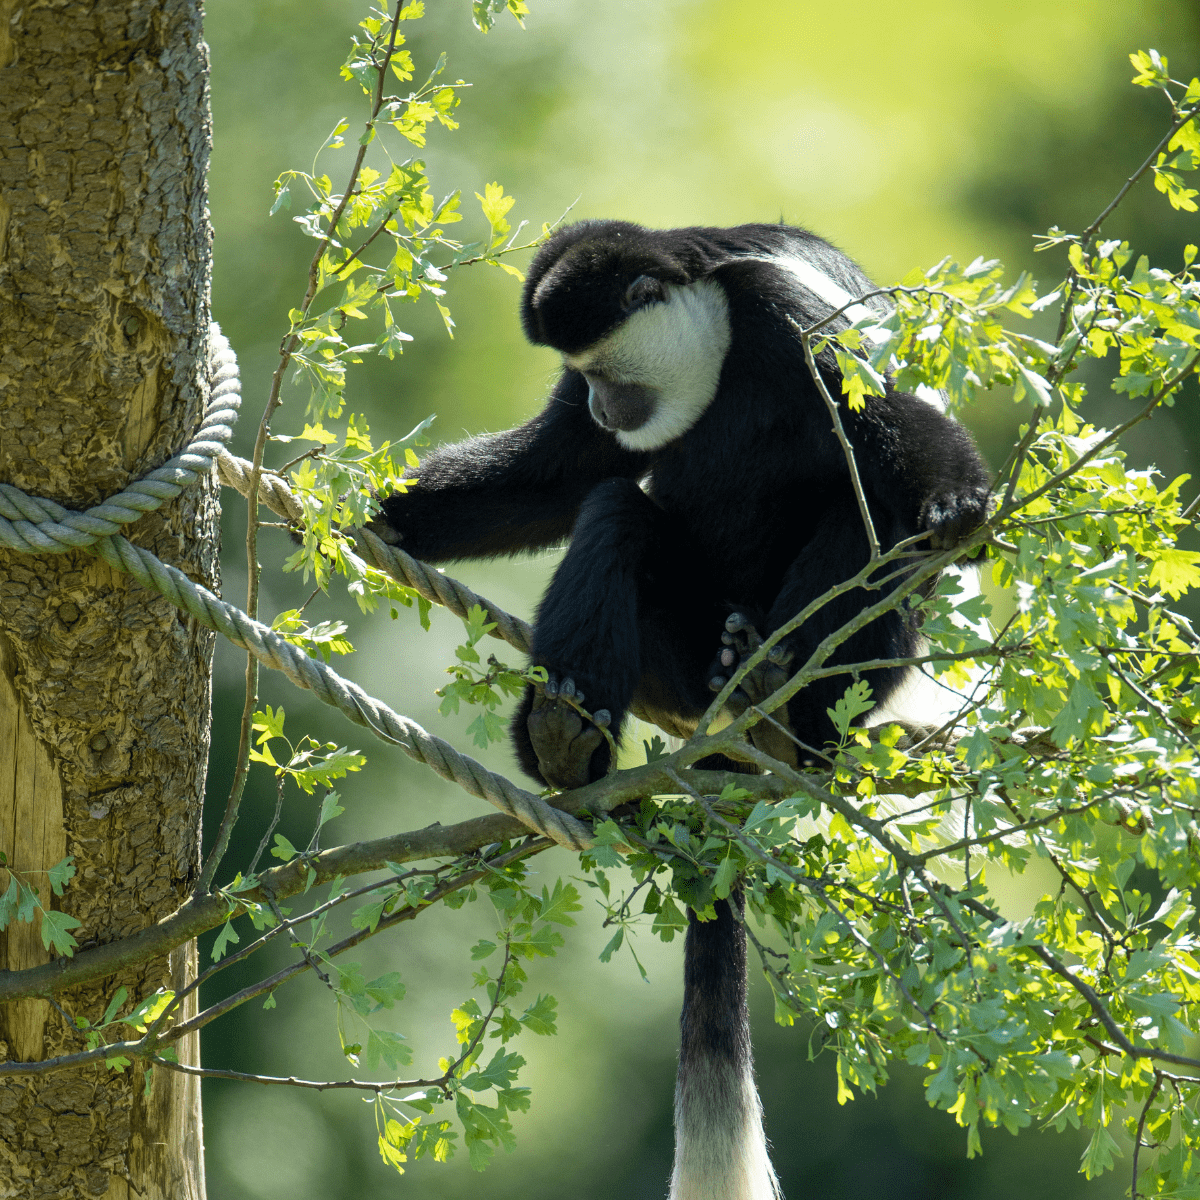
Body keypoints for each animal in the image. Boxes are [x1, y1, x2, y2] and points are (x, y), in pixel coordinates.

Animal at [378, 219, 990, 1198]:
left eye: (602, 369)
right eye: (578, 376)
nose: (596, 406)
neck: (717, 341)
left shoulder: (793, 320)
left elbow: (894, 425)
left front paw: (958, 502)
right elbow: (554, 480)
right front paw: (377, 514)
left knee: (875, 519)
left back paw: (780, 702)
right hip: (670, 664)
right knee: (616, 513)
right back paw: (566, 741)